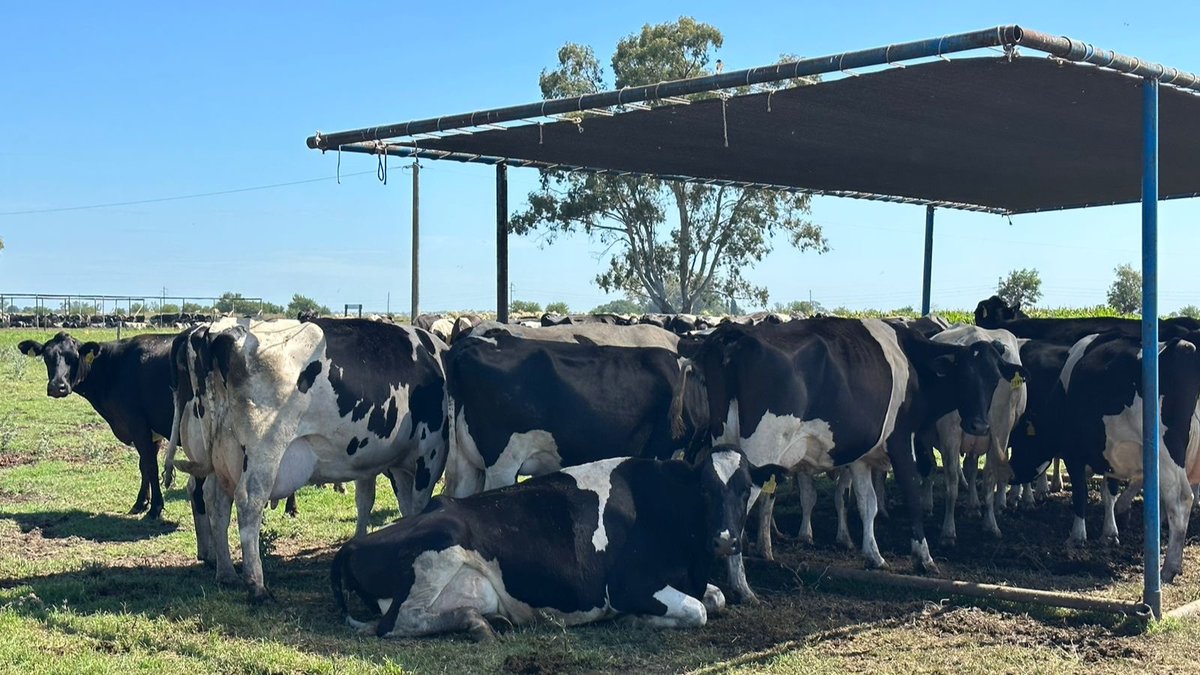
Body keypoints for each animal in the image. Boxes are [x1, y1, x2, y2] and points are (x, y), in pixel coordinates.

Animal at [18, 331, 177, 520]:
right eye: (46, 357)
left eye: (74, 357)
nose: (57, 387)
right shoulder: (151, 431)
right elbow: (143, 465)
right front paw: (140, 503)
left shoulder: (137, 424)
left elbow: (150, 465)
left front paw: (155, 509)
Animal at [165, 318, 449, 599]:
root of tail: (215, 329)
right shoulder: (431, 452)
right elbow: (418, 506)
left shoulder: (392, 462)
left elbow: (382, 503)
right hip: (264, 450)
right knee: (248, 502)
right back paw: (256, 585)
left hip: (219, 457)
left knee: (216, 502)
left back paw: (226, 573)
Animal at [330, 445, 787, 639]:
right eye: (705, 490)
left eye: (745, 489)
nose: (726, 542)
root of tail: (352, 545)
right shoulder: (627, 585)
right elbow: (698, 610)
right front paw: (635, 620)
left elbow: (717, 598)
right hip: (440, 547)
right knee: (393, 625)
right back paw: (477, 625)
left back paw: (482, 620)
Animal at [690, 317, 1020, 598]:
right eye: (964, 375)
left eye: (994, 379)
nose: (979, 425)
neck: (912, 360)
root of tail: (735, 335)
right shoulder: (901, 440)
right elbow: (912, 495)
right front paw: (924, 557)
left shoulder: (862, 458)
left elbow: (867, 504)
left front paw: (874, 555)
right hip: (759, 452)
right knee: (737, 507)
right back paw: (741, 586)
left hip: (725, 444)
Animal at [1048, 331, 1200, 582]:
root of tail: (1184, 345)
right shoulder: (1110, 455)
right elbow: (1109, 491)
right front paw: (1110, 532)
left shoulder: (1073, 451)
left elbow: (1080, 493)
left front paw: (1077, 536)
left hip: (1166, 451)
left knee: (1180, 500)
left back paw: (1169, 567)